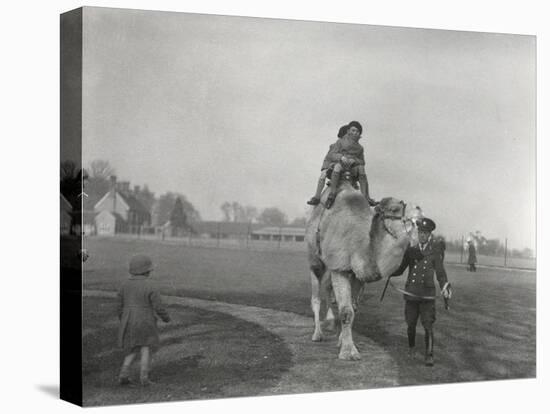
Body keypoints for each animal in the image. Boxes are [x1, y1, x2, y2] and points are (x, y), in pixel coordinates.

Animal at [306, 181, 422, 360]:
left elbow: (353, 308)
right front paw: (348, 352)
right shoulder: (339, 267)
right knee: (316, 296)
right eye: (393, 209)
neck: (360, 244)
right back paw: (317, 334)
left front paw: (343, 342)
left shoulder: (357, 276)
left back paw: (330, 322)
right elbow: (346, 311)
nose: (418, 210)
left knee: (327, 288)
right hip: (315, 259)